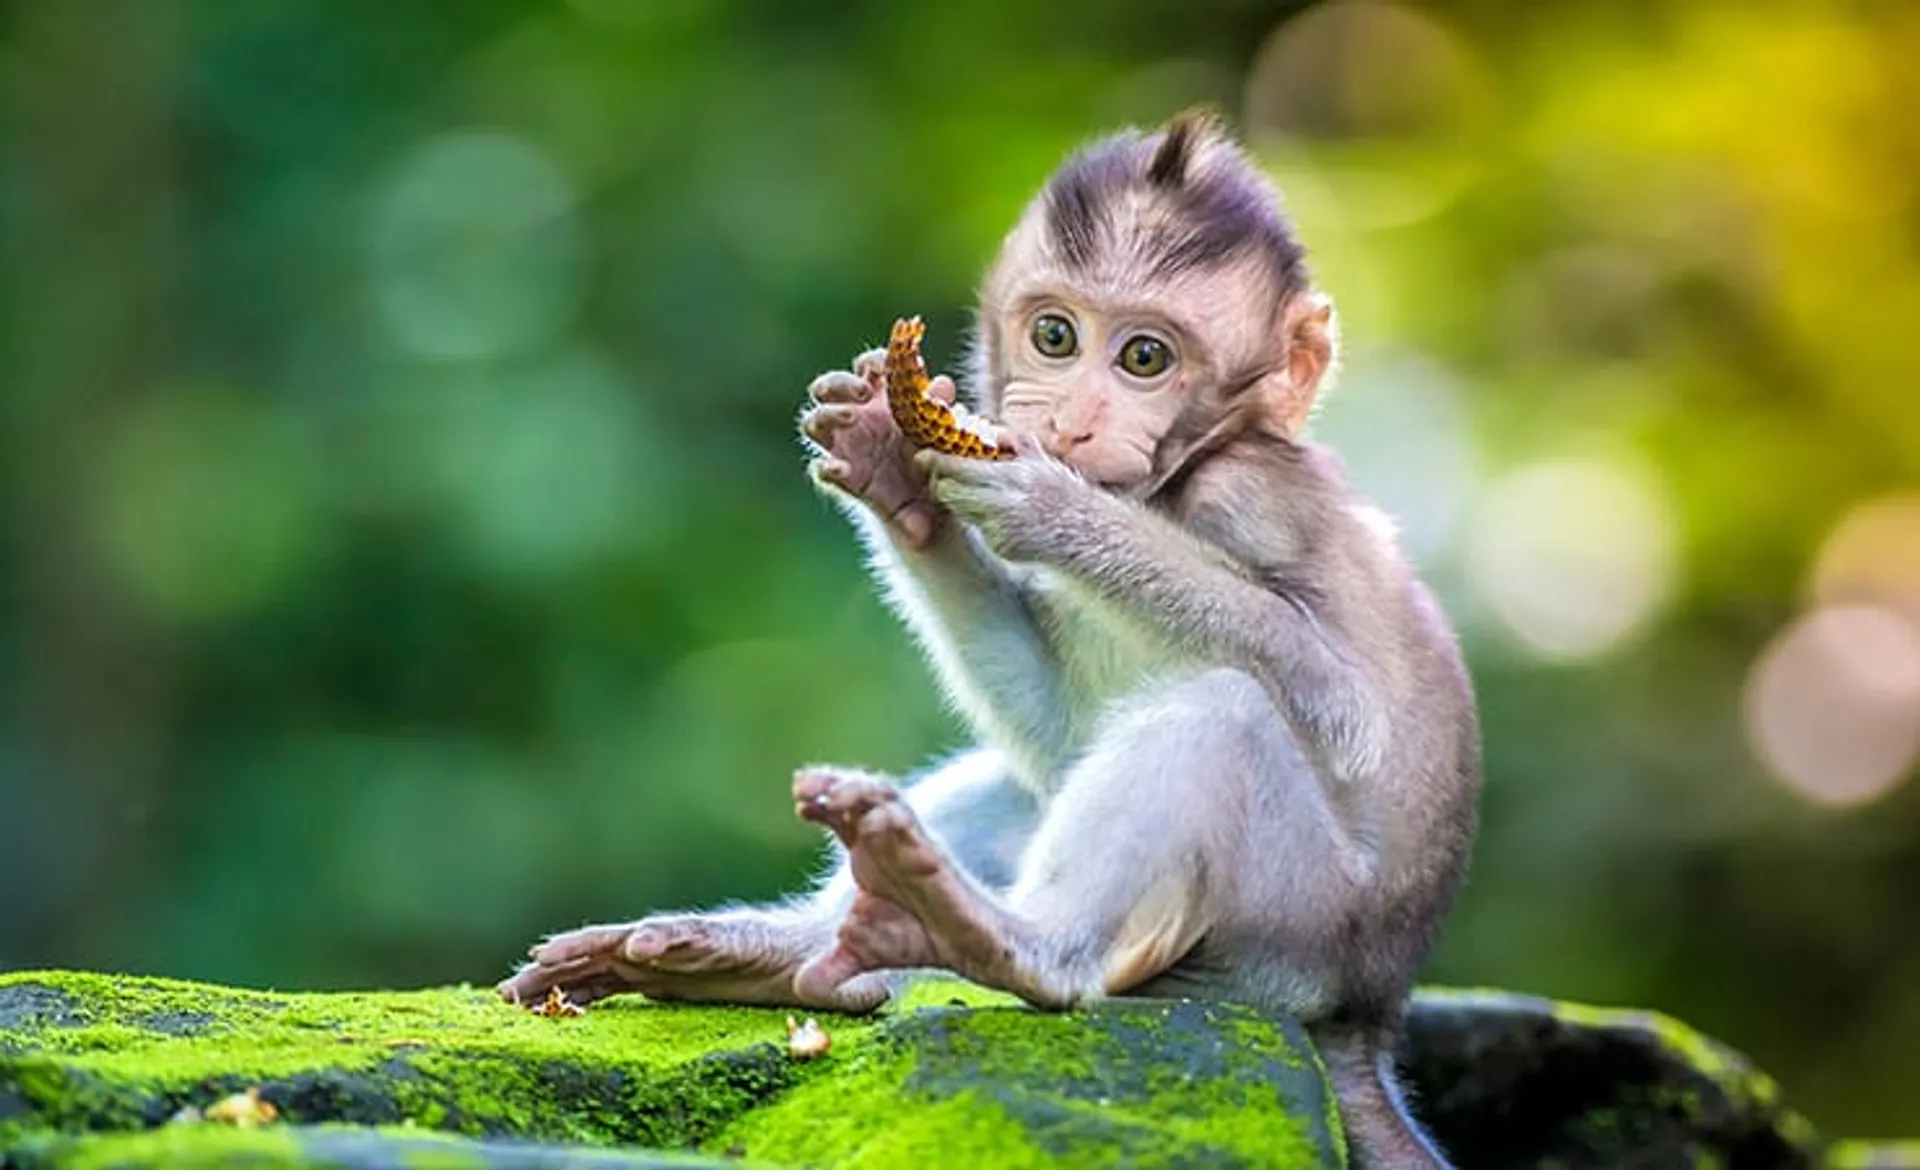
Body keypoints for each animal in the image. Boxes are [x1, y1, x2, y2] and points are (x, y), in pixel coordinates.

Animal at [499, 109, 1480, 1170]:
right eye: (1055, 335)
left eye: (1144, 359)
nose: (1069, 421)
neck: (1176, 484)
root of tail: (1363, 1018)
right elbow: (1059, 731)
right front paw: (892, 470)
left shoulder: (1252, 499)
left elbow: (1346, 710)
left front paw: (1052, 509)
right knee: (1027, 782)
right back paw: (777, 953)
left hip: (1284, 932)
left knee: (1222, 716)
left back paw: (1012, 944)